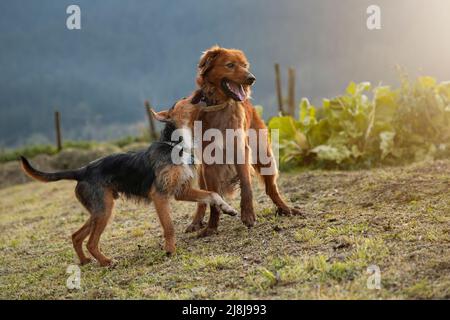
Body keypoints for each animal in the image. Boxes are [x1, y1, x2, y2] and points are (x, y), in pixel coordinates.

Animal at [20, 96, 239, 266]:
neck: (176, 144)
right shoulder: (160, 196)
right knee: (91, 242)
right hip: (104, 210)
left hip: (100, 209)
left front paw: (228, 208)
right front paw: (170, 250)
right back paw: (106, 262)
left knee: (76, 235)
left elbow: (212, 194)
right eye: (184, 99)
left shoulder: (181, 191)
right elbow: (169, 226)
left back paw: (85, 261)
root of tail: (82, 170)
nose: (200, 93)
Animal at [186, 45, 302, 236]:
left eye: (245, 65)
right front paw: (211, 226)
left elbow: (246, 186)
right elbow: (212, 199)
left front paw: (248, 215)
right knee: (203, 199)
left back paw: (286, 209)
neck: (220, 106)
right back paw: (196, 222)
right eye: (230, 65)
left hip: (265, 157)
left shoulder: (240, 151)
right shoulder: (209, 164)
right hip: (202, 172)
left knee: (271, 189)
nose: (251, 79)